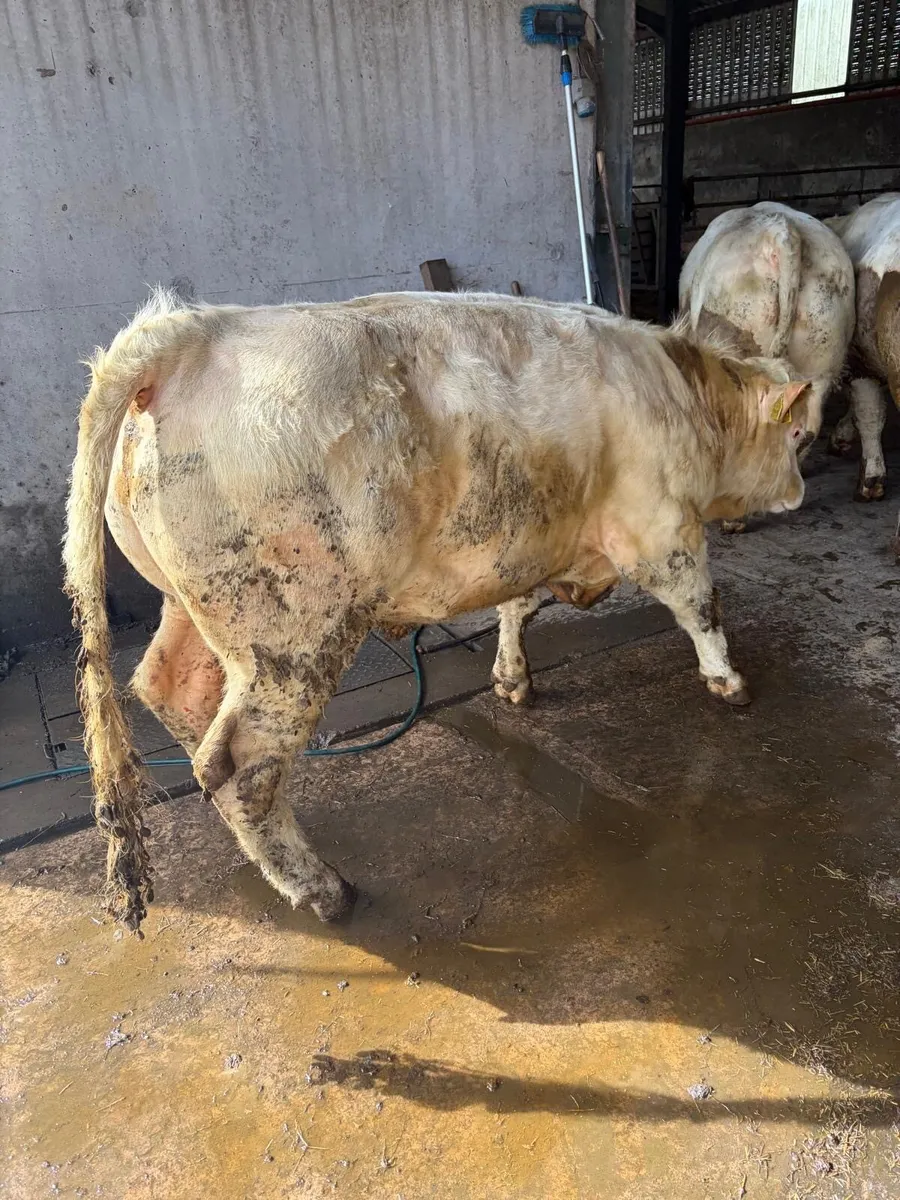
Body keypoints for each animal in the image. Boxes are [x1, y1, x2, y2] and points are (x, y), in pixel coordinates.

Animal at [64, 289, 813, 931]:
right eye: (800, 436)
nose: (800, 493)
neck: (685, 396)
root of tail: (193, 330)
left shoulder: (523, 541)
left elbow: (517, 606)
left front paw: (512, 678)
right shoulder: (661, 529)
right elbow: (701, 604)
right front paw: (729, 682)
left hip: (198, 609)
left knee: (172, 690)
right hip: (292, 635)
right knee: (240, 763)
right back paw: (323, 889)